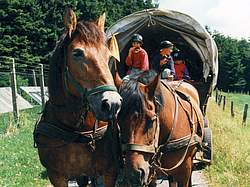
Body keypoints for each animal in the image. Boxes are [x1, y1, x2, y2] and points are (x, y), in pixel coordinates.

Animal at [34, 8, 122, 187]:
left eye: (109, 55)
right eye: (77, 53)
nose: (112, 104)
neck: (77, 131)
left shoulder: (110, 172)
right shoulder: (57, 176)